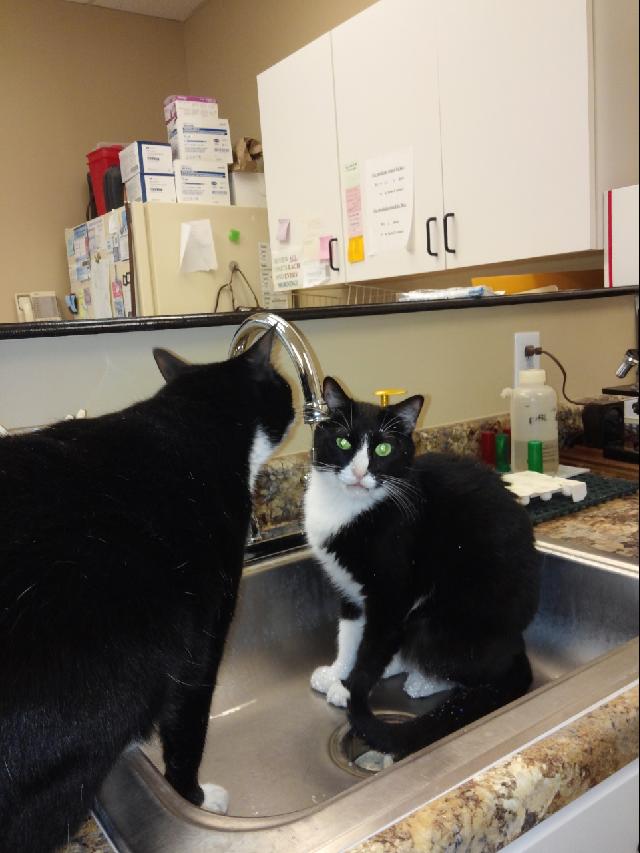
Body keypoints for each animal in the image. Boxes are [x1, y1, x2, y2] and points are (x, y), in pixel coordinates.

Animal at [0, 330, 294, 852]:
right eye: (281, 385)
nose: (300, 407)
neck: (195, 418)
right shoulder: (203, 639)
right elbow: (186, 729)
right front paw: (195, 797)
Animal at [306, 380, 540, 760]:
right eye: (343, 441)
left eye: (383, 448)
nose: (359, 472)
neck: (349, 509)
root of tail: (515, 642)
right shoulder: (348, 588)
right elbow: (349, 633)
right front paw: (338, 672)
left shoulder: (392, 590)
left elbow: (372, 644)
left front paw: (350, 687)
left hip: (438, 620)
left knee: (474, 668)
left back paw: (422, 681)